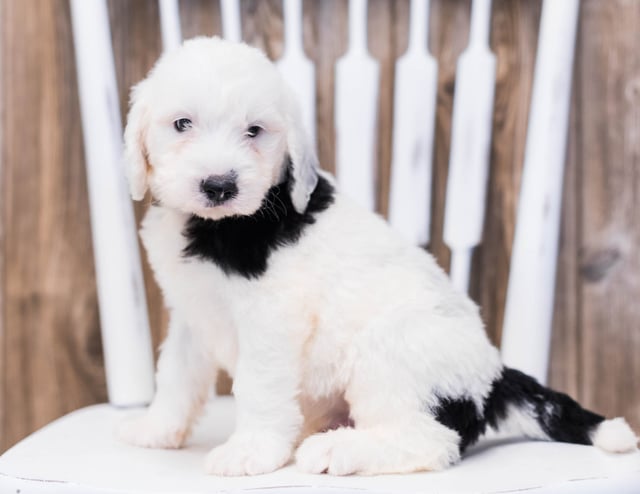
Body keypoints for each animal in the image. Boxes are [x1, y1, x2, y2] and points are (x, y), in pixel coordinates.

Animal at [119, 36, 636, 476]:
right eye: (182, 124)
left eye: (255, 131)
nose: (219, 185)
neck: (218, 224)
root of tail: (495, 373)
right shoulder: (192, 310)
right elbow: (177, 371)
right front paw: (157, 428)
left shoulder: (271, 315)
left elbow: (260, 385)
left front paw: (251, 451)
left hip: (392, 350)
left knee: (430, 439)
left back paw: (337, 449)